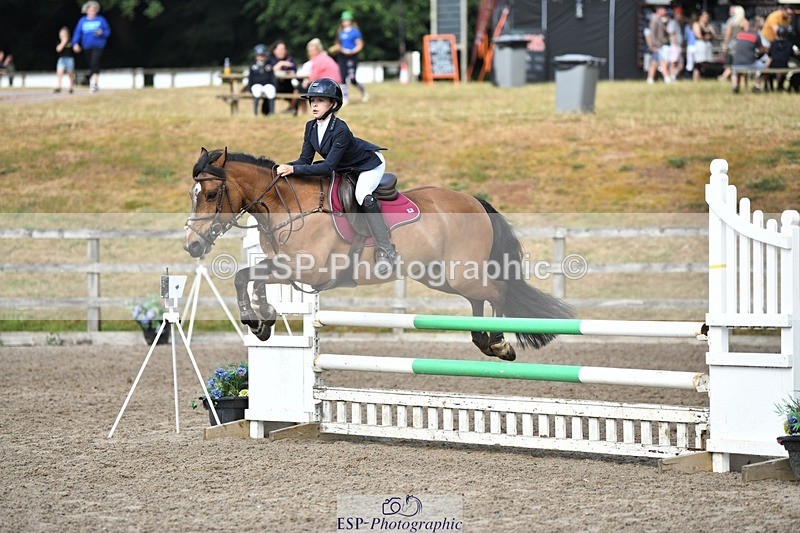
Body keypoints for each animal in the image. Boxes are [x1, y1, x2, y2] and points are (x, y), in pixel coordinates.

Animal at [184, 148, 573, 361]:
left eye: (212, 193)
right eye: (194, 193)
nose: (191, 245)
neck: (289, 206)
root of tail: (474, 201)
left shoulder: (308, 271)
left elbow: (247, 276)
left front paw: (258, 320)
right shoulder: (284, 266)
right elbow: (248, 277)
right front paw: (262, 322)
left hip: (462, 273)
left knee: (498, 292)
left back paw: (499, 343)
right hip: (442, 277)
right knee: (481, 297)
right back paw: (483, 340)